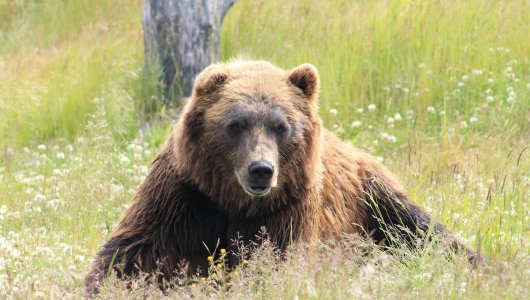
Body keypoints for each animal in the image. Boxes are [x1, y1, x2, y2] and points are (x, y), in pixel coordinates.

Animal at [85, 60, 474, 292]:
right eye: (235, 124)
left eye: (281, 126)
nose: (261, 170)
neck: (233, 201)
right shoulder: (186, 195)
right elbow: (134, 251)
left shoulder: (287, 207)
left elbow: (272, 262)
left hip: (374, 199)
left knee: (424, 231)